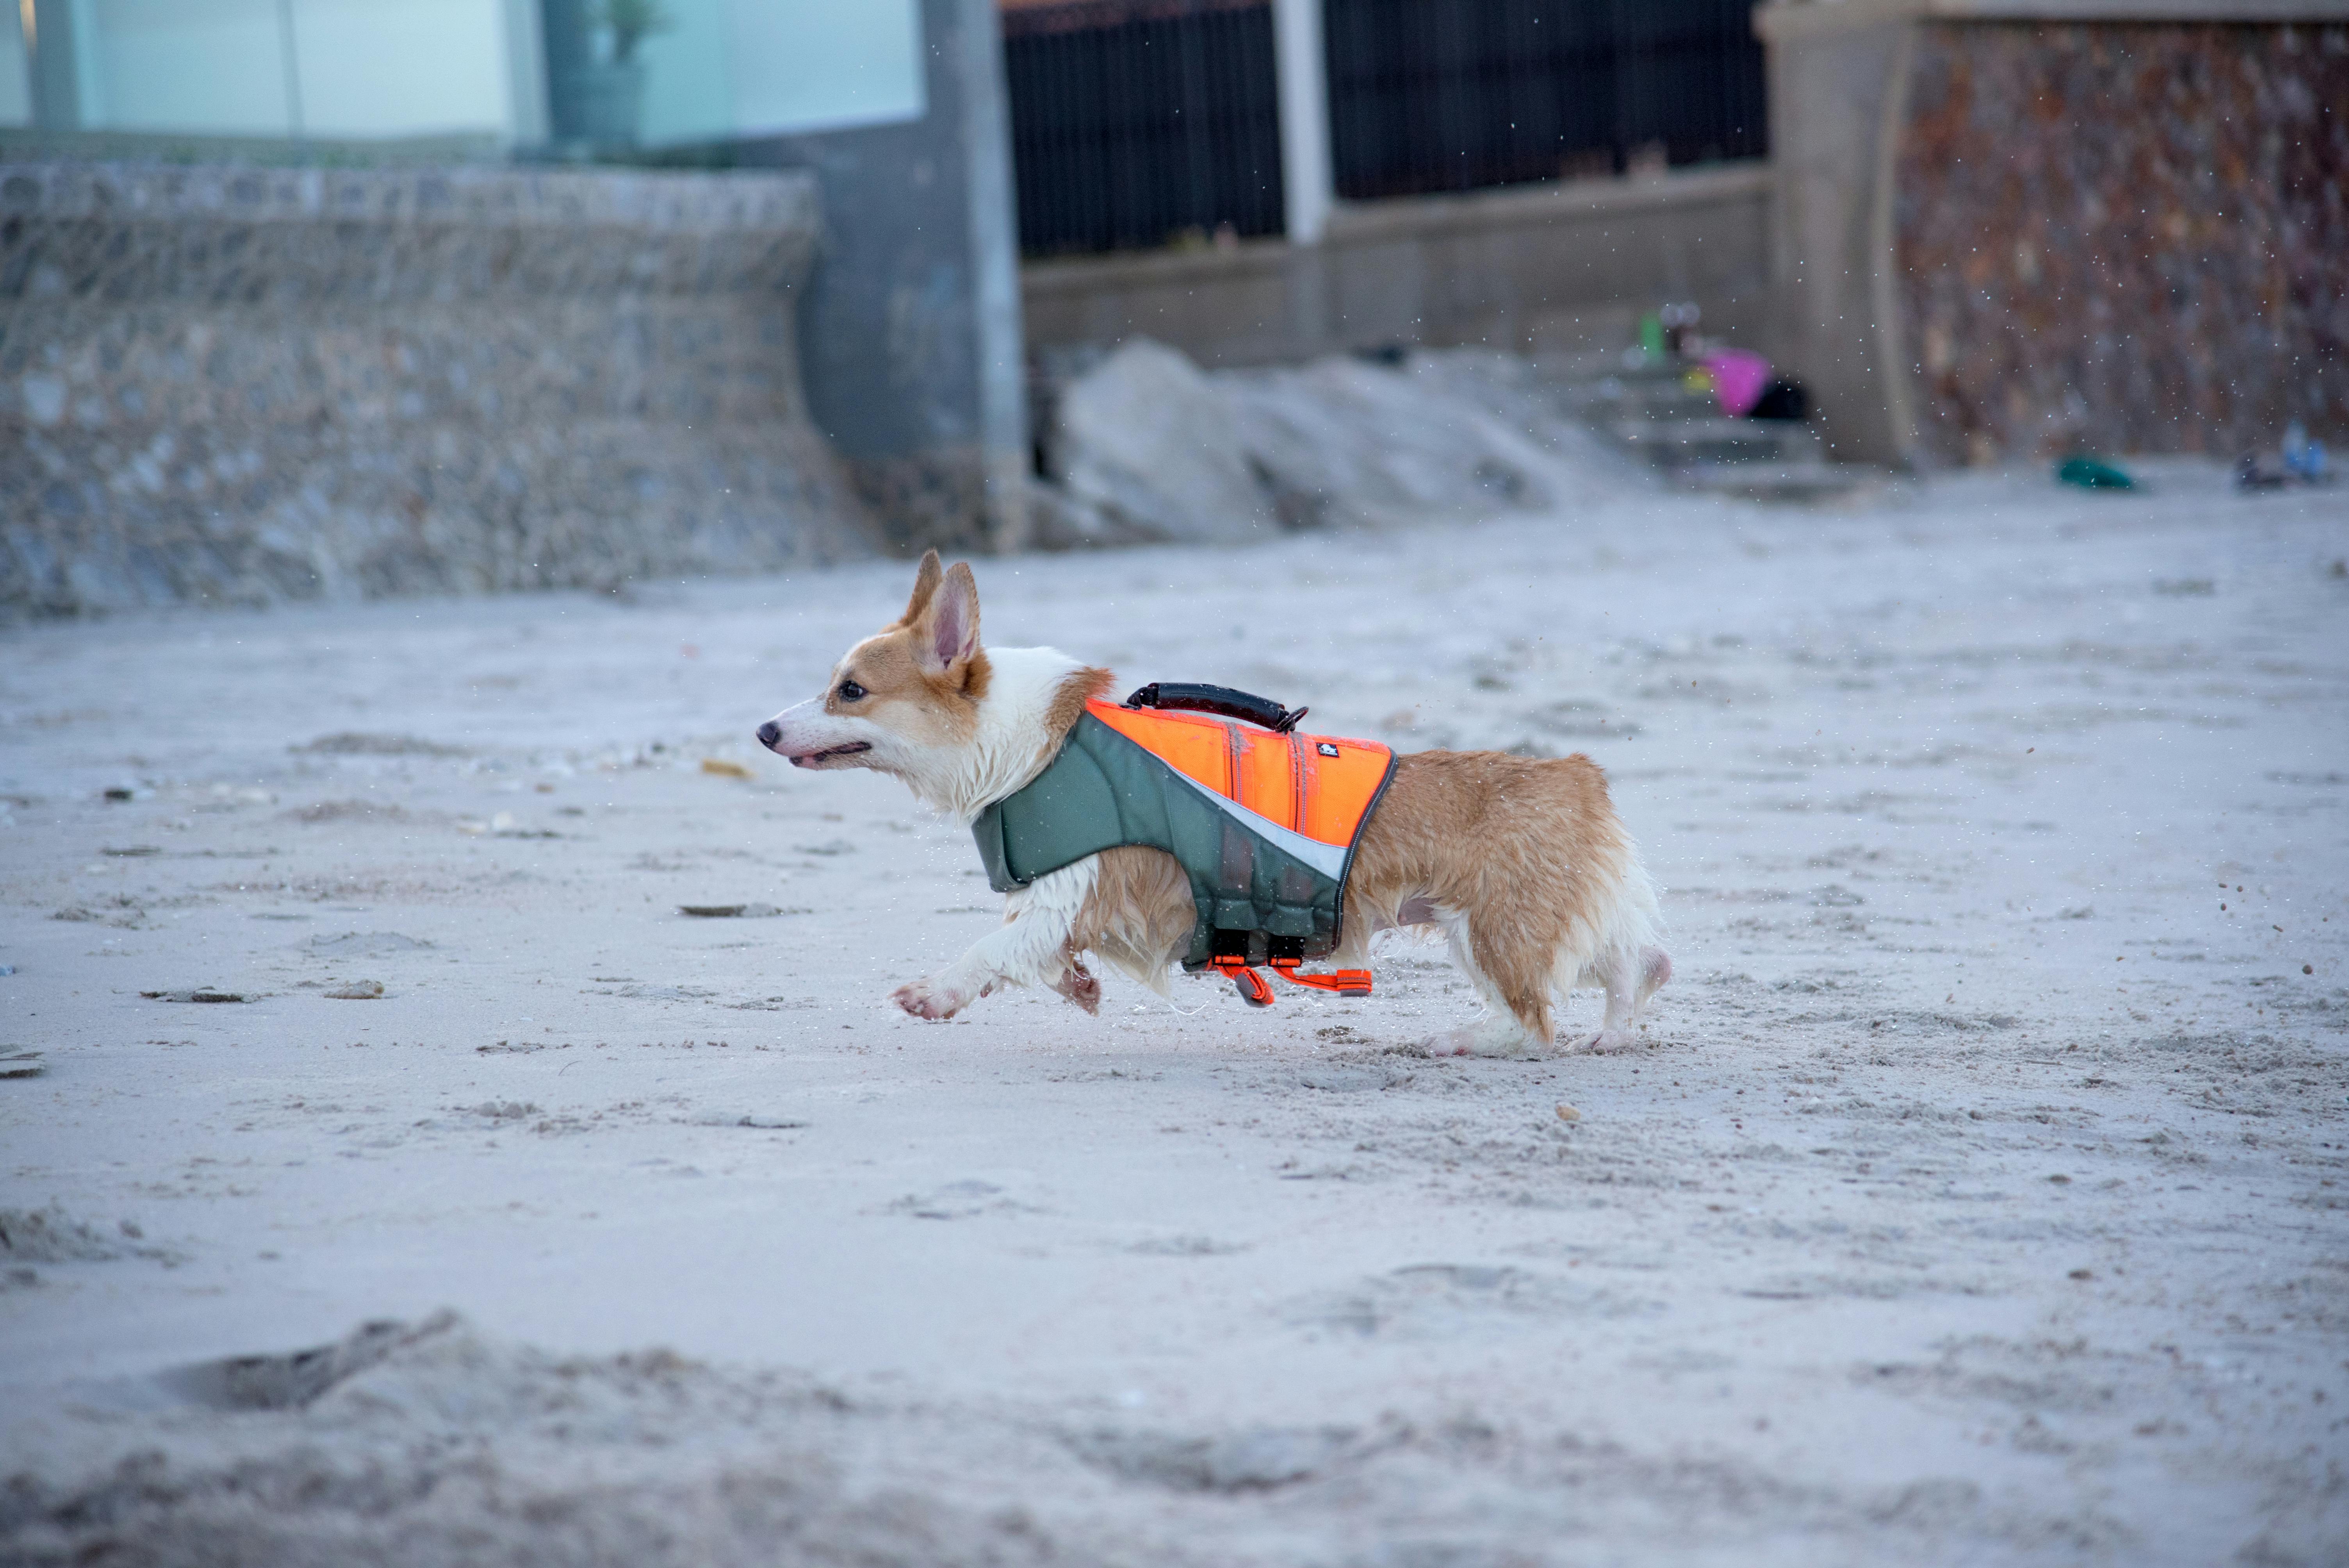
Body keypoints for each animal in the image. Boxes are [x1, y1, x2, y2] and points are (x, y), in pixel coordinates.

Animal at [756, 551, 1672, 1051]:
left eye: (850, 690)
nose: (764, 729)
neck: (1022, 741)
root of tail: (1578, 775)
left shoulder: (1072, 889)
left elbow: (989, 949)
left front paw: (934, 995)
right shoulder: (1064, 908)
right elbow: (1042, 959)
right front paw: (1079, 988)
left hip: (1486, 930)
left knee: (1532, 1018)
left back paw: (1461, 1038)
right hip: (1545, 915)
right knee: (1634, 962)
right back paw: (1615, 1029)